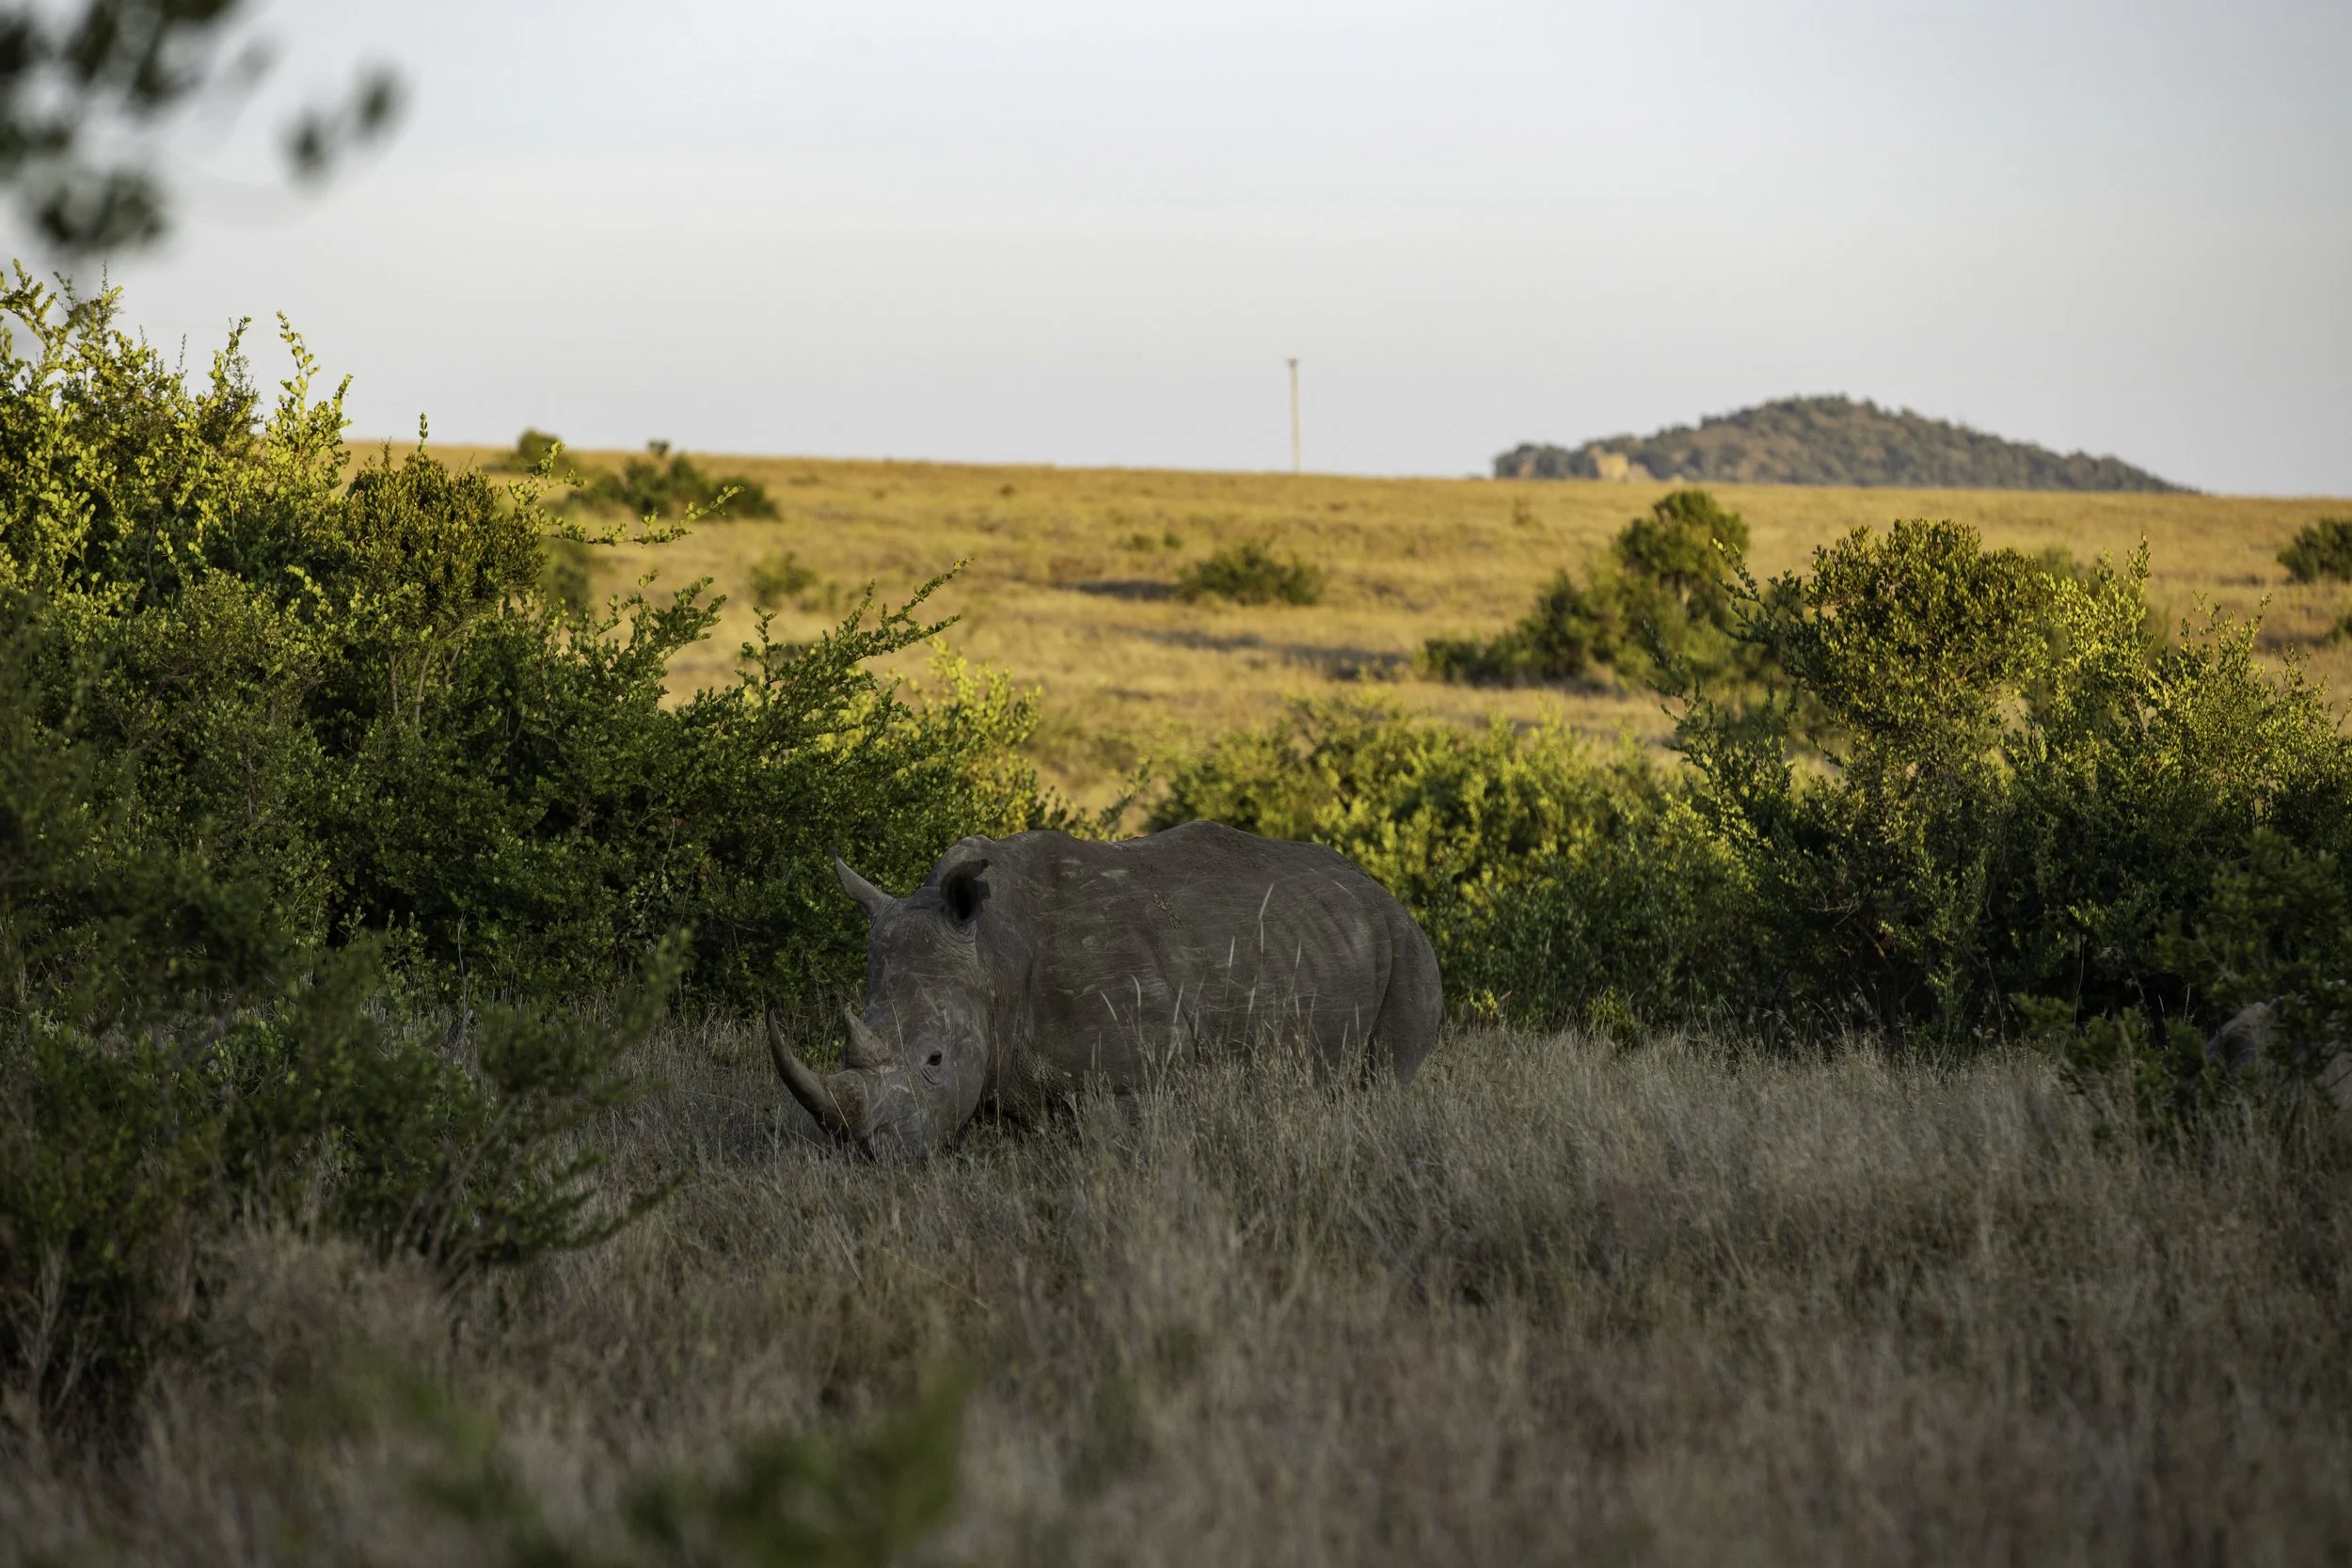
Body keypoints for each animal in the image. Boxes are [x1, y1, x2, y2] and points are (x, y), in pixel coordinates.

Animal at [767, 821, 1443, 1159]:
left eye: (935, 1059)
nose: (873, 1153)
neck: (993, 953)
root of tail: (1381, 889)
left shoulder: (1133, 1076)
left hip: (1406, 948)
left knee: (1383, 1080)